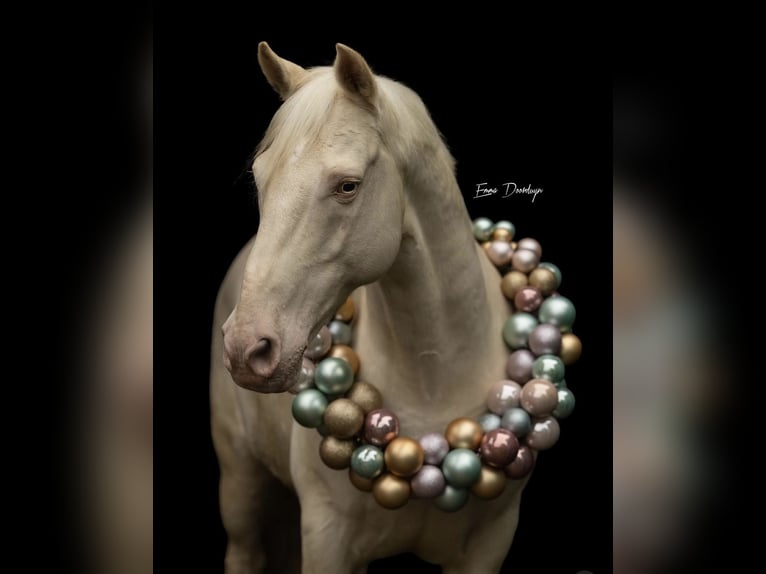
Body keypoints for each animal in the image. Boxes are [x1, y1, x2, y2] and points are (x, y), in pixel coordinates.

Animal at [211, 42, 525, 573]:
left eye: (347, 186)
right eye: (259, 177)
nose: (246, 347)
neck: (434, 382)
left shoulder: (489, 544)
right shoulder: (328, 539)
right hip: (240, 486)